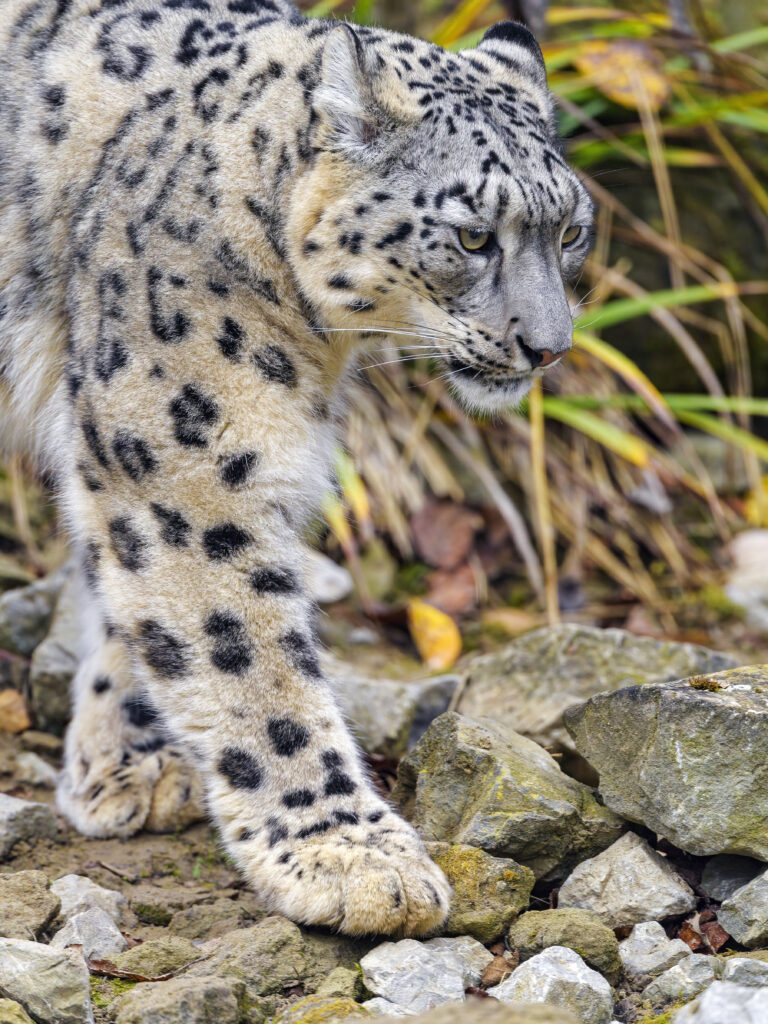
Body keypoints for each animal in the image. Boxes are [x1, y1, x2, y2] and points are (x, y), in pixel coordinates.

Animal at [0, 0, 593, 937]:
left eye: (570, 230)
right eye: (473, 235)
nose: (549, 346)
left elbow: (130, 600)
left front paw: (130, 758)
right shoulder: (185, 462)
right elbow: (243, 652)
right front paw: (350, 857)